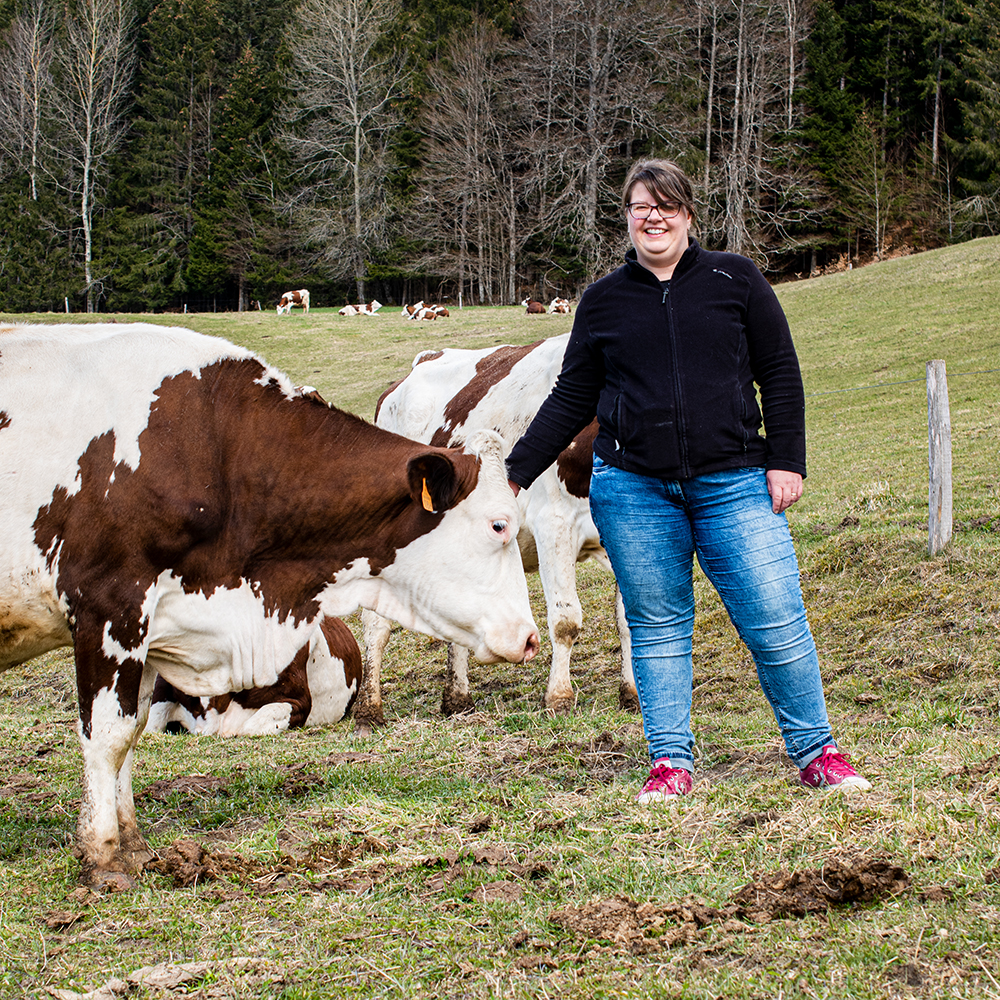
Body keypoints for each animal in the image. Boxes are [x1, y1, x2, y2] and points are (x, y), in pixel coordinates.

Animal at [356, 336, 636, 736]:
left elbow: (629, 620)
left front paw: (632, 695)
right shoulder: (554, 522)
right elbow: (566, 621)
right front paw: (559, 698)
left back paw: (457, 699)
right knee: (375, 625)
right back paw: (369, 710)